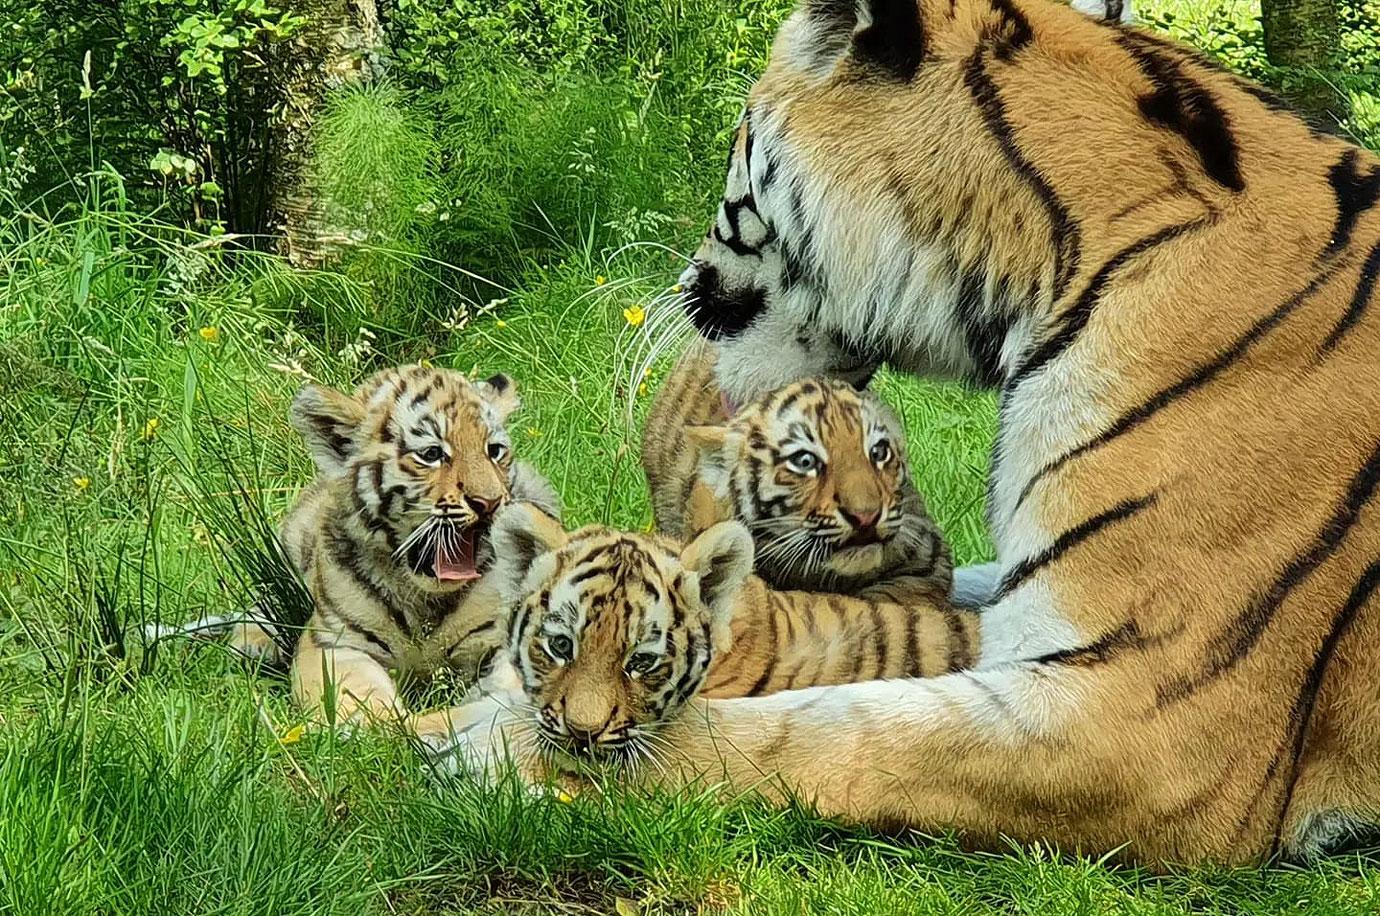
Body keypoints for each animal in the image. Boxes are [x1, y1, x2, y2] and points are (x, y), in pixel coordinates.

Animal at [444, 0, 1380, 866]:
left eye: (740, 130)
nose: (685, 284)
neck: (1060, 268)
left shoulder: (1149, 723)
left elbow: (812, 731)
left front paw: (487, 743)